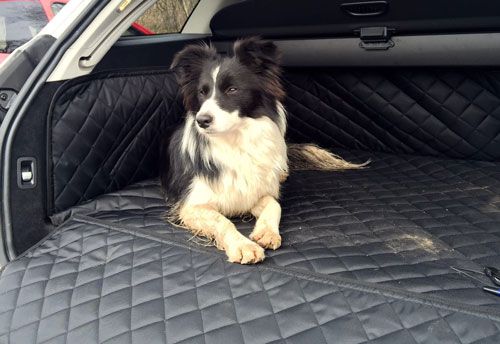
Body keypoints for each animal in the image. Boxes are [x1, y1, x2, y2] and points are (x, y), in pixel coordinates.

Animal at [162, 37, 366, 264]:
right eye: (202, 92)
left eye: (232, 90)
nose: (202, 121)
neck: (235, 142)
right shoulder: (191, 205)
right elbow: (222, 221)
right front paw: (243, 246)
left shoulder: (257, 191)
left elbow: (274, 204)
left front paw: (267, 232)